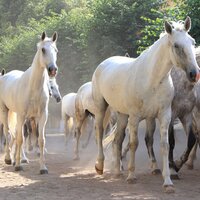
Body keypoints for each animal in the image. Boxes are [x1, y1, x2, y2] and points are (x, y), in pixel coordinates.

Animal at [0, 31, 58, 173]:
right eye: (43, 49)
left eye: (56, 50)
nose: (52, 69)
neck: (33, 87)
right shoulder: (22, 115)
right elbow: (20, 139)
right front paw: (17, 166)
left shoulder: (42, 116)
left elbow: (40, 140)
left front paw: (43, 168)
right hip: (5, 111)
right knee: (8, 133)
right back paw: (9, 159)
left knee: (15, 134)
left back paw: (19, 159)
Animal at [92, 17, 198, 192]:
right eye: (176, 45)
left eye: (193, 42)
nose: (194, 74)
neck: (153, 79)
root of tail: (104, 63)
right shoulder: (135, 117)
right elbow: (134, 143)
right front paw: (131, 176)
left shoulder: (165, 115)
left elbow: (165, 144)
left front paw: (168, 181)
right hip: (102, 109)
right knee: (100, 133)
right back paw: (100, 165)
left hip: (122, 115)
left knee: (117, 141)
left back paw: (117, 171)